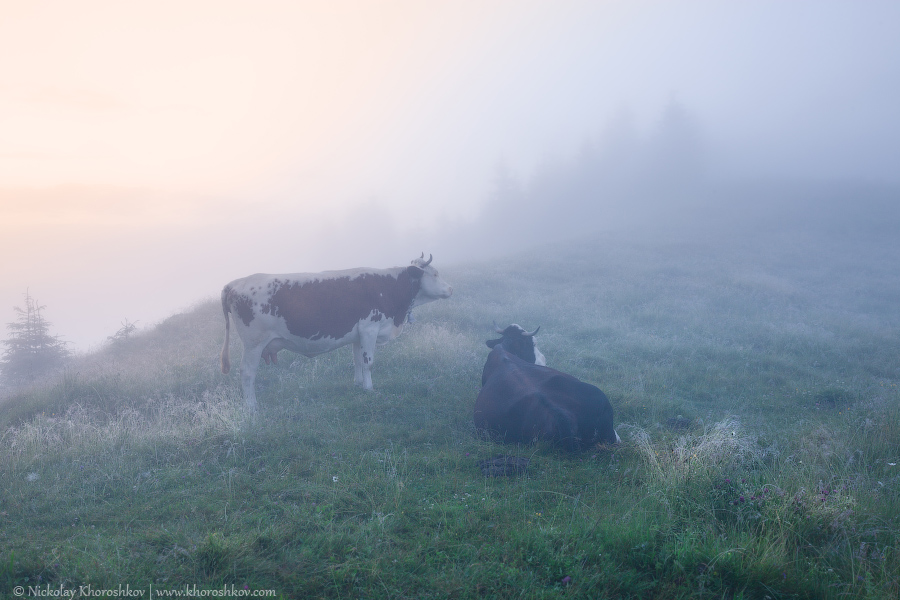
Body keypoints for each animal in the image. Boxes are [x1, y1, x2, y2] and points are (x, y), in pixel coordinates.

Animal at [222, 253, 454, 412]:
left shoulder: (359, 334)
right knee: (247, 373)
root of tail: (234, 283)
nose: (451, 289)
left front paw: (359, 384)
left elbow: (358, 360)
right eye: (435, 273)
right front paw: (370, 389)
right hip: (253, 344)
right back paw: (251, 406)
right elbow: (369, 362)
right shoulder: (370, 328)